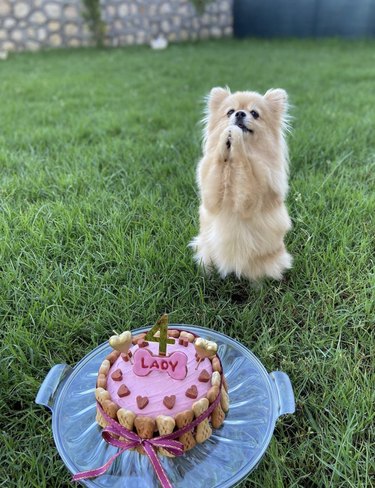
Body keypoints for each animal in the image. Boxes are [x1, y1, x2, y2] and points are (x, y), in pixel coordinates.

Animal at [191, 86, 294, 280]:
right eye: (230, 112)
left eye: (254, 113)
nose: (239, 114)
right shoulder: (211, 195)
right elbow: (217, 163)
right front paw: (225, 138)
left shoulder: (250, 198)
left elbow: (243, 164)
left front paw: (236, 139)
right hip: (206, 254)